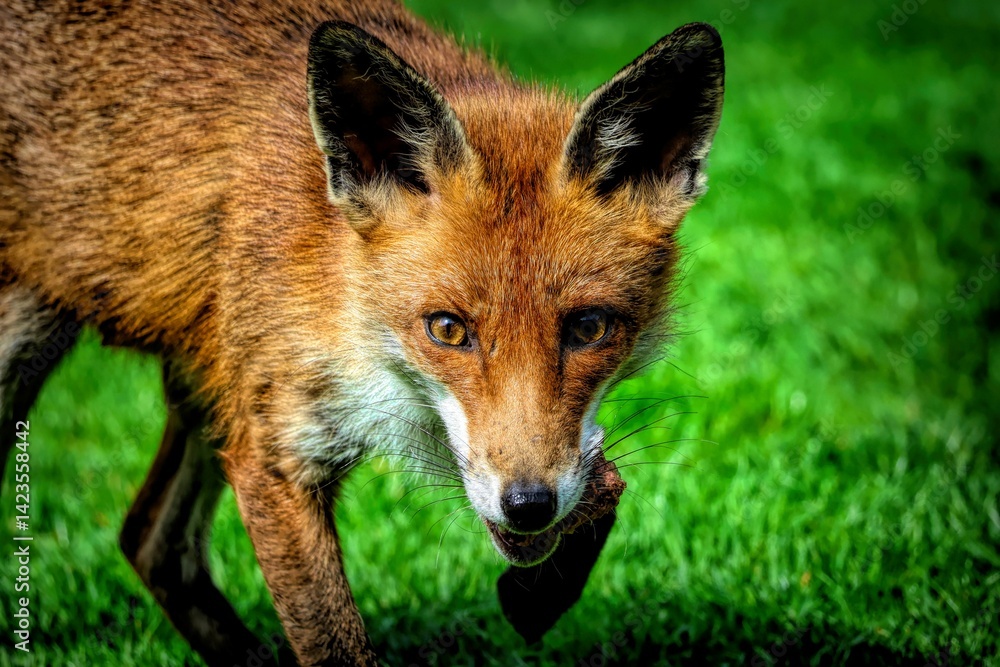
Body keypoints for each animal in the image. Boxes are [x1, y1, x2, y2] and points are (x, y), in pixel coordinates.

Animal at [0, 1, 724, 665]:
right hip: (30, 345)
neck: (342, 288)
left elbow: (605, 478)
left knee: (150, 540)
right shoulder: (275, 455)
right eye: (447, 330)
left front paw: (539, 593)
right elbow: (335, 645)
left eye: (589, 327)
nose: (527, 505)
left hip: (208, 375)